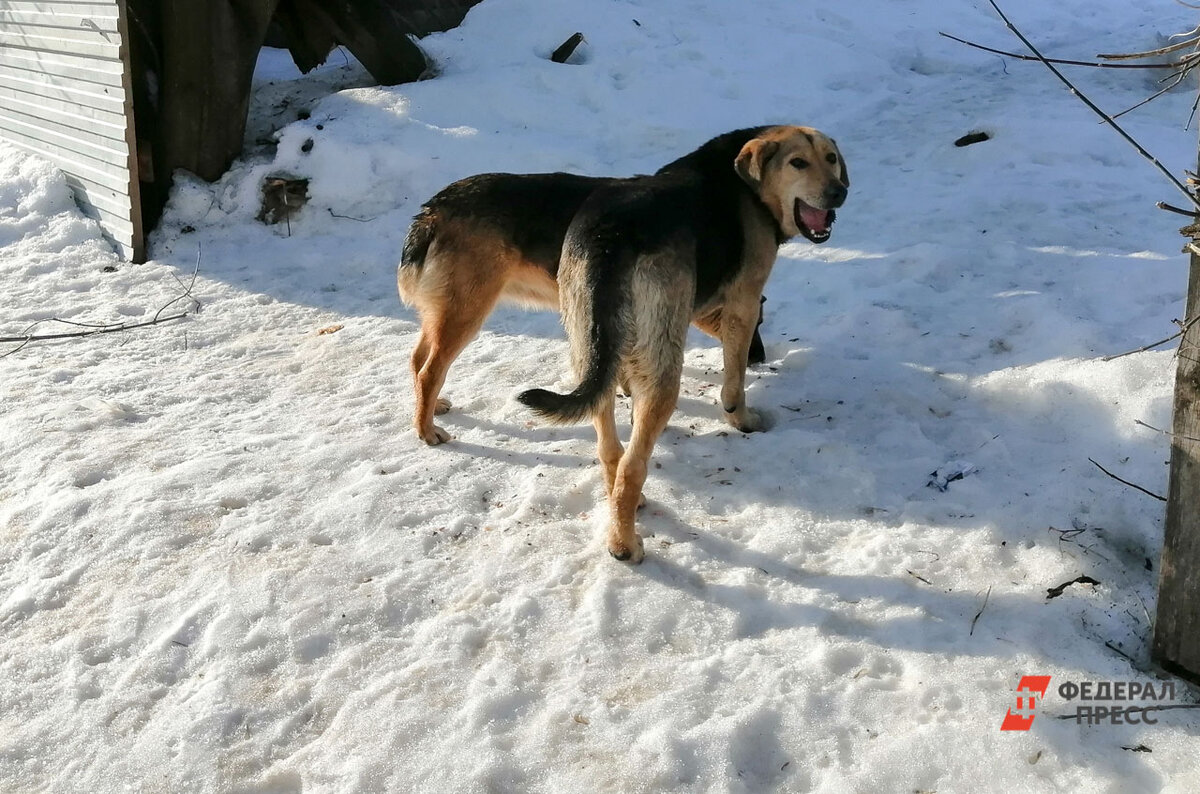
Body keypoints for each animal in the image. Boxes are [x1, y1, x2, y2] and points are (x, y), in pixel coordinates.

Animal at [393, 138, 768, 448]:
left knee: (417, 359)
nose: (759, 358)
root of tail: (434, 209)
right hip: (466, 313)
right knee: (429, 371)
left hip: (448, 313)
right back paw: (426, 431)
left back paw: (432, 409)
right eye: (759, 323)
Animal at [520, 124, 849, 563]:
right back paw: (624, 545)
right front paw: (742, 419)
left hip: (585, 340)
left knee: (609, 445)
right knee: (633, 466)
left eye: (831, 158)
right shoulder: (743, 302)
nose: (838, 193)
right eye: (798, 162)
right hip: (664, 367)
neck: (749, 184)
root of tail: (610, 237)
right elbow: (733, 379)